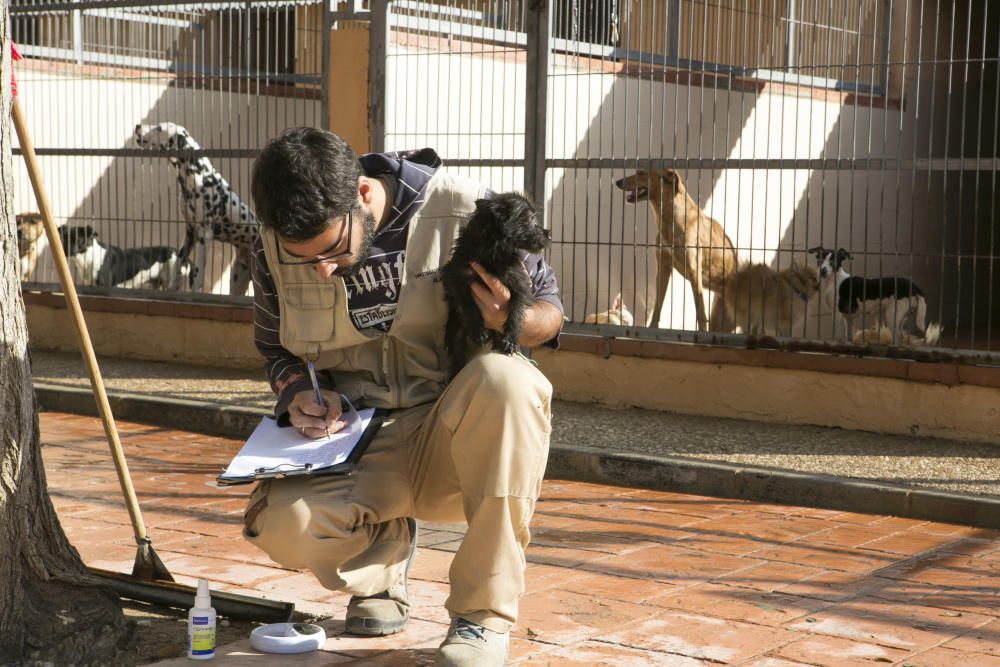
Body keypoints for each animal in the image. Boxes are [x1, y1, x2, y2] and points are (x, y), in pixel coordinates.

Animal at [56, 224, 187, 290]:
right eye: (63, 237)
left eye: (77, 238)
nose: (63, 247)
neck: (88, 256)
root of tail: (176, 251)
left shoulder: (104, 286)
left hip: (171, 282)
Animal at [133, 122, 258, 294]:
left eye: (159, 128)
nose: (137, 125)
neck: (198, 177)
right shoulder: (190, 234)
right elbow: (178, 265)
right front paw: (172, 288)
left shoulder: (204, 236)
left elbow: (198, 274)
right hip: (237, 280)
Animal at [442, 193, 552, 380]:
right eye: (530, 218)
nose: (549, 235)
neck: (492, 253)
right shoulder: (457, 279)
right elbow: (468, 304)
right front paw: (477, 329)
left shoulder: (519, 285)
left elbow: (516, 311)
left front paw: (511, 339)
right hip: (455, 334)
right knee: (457, 357)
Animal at [612, 170, 740, 332]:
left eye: (640, 172)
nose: (617, 182)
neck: (669, 220)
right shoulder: (663, 268)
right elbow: (657, 306)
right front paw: (653, 327)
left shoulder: (694, 271)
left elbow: (700, 311)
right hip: (720, 321)